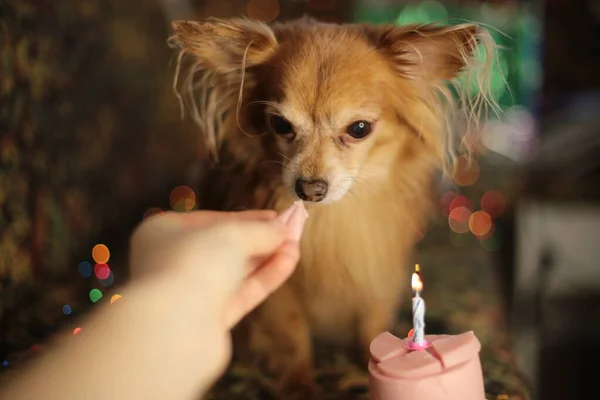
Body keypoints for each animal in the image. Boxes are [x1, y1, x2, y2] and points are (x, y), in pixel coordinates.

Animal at [170, 14, 496, 396]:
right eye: (279, 124)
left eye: (359, 129)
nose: (309, 188)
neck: (332, 218)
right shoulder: (278, 296)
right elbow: (292, 335)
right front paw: (299, 386)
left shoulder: (378, 270)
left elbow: (371, 322)